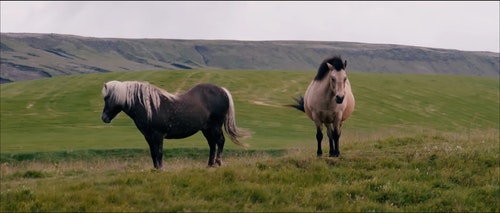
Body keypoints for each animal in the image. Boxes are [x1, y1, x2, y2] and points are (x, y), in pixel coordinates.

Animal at [101, 80, 250, 169]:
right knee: (212, 144)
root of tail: (223, 90)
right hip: (206, 129)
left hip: (215, 126)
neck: (150, 106)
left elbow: (159, 152)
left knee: (220, 141)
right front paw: (155, 169)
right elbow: (153, 153)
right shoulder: (148, 136)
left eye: (108, 98)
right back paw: (209, 165)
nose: (104, 118)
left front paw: (161, 169)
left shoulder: (158, 135)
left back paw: (218, 162)